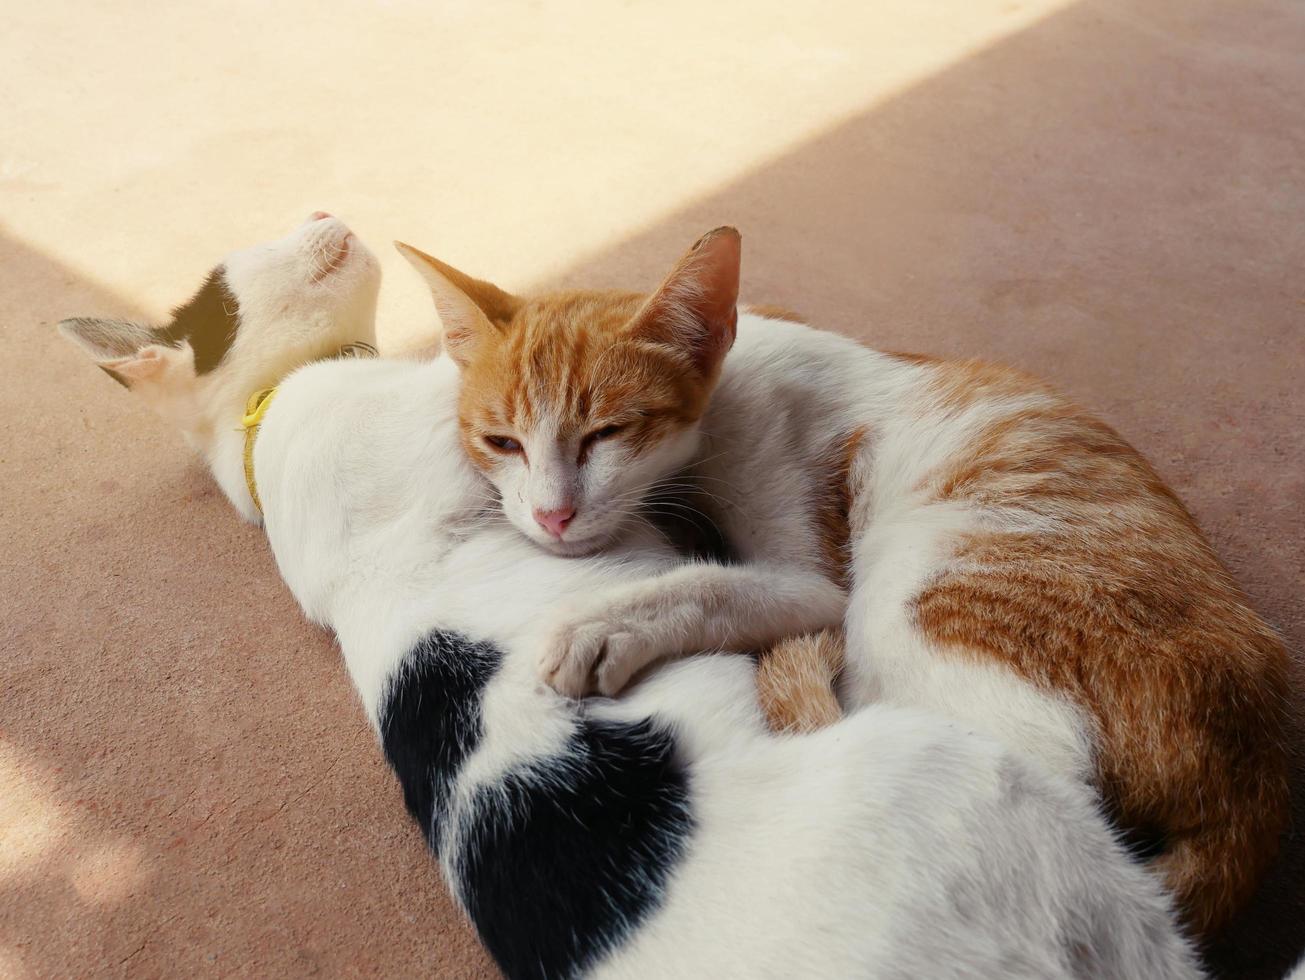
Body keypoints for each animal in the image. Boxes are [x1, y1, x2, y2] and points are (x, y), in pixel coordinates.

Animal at [399, 225, 1294, 939]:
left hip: (919, 601)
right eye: (500, 441)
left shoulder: (810, 574)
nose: (552, 516)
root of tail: (1250, 783)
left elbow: (713, 586)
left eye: (607, 432)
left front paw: (598, 624)